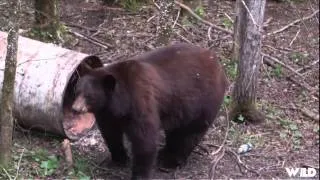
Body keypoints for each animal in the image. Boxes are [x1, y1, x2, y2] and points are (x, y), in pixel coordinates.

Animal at [71, 43, 229, 180]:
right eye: (77, 91)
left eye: (89, 96)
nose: (75, 108)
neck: (119, 101)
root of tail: (217, 63)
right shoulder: (107, 113)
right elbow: (110, 133)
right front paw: (118, 159)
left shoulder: (139, 103)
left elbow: (144, 140)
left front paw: (139, 175)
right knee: (175, 131)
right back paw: (165, 152)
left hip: (203, 103)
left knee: (190, 133)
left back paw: (171, 161)